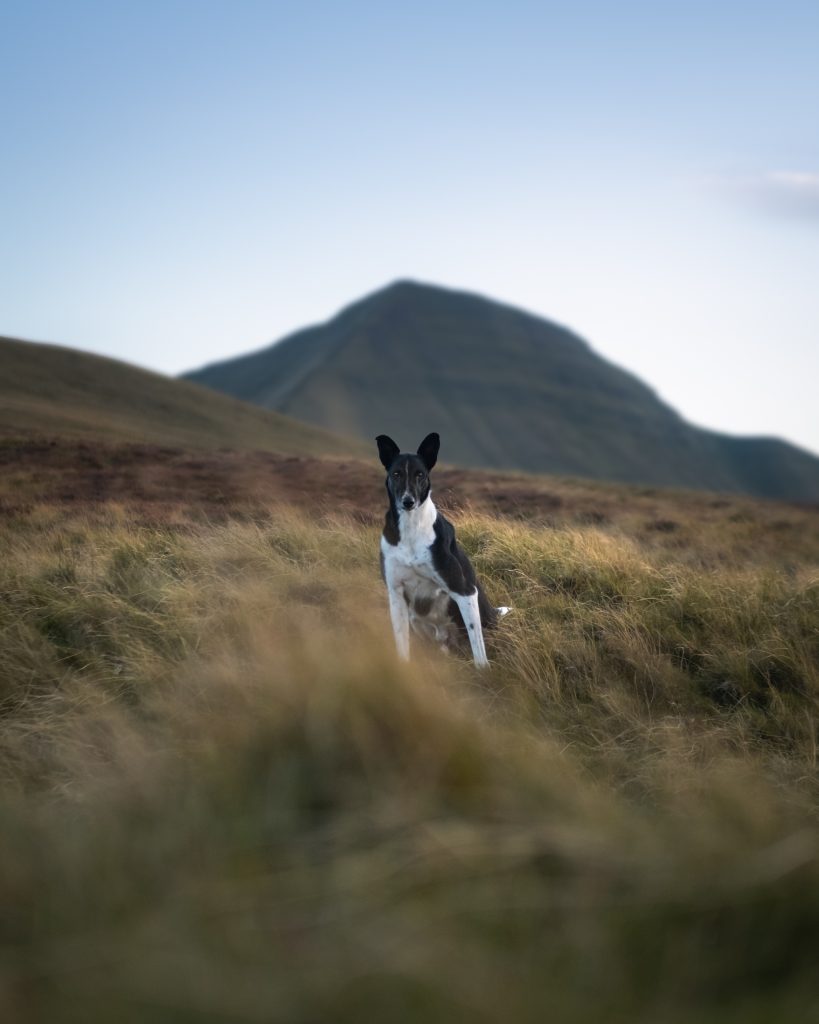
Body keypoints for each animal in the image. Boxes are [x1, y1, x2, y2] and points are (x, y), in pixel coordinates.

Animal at [376, 430, 505, 663]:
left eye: (420, 474)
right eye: (396, 474)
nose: (408, 501)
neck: (411, 528)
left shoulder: (465, 592)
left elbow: (478, 650)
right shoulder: (396, 594)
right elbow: (402, 646)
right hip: (416, 622)